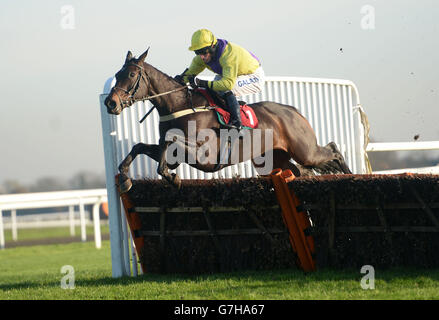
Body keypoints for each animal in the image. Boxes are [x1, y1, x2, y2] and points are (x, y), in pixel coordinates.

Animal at [102, 48, 350, 192]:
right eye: (117, 74)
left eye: (131, 75)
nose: (110, 103)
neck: (179, 107)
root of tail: (293, 111)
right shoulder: (177, 156)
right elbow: (140, 146)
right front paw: (125, 178)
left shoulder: (206, 155)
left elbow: (169, 143)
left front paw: (173, 179)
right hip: (271, 160)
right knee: (299, 171)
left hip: (304, 151)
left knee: (332, 150)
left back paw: (347, 171)